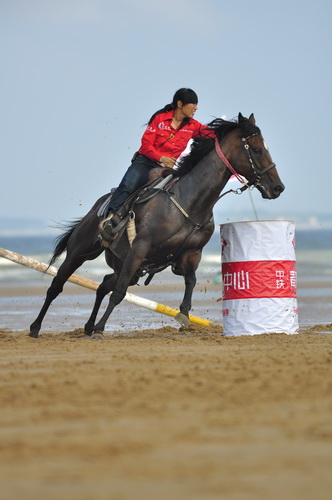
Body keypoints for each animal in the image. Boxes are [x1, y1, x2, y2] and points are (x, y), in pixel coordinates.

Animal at [28, 114, 284, 340]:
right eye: (257, 150)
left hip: (124, 266)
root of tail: (97, 207)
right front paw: (101, 329)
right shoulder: (139, 248)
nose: (277, 187)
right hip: (81, 252)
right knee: (57, 286)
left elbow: (191, 281)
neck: (189, 201)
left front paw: (183, 315)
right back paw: (36, 328)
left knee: (103, 285)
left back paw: (88, 326)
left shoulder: (191, 254)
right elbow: (119, 293)